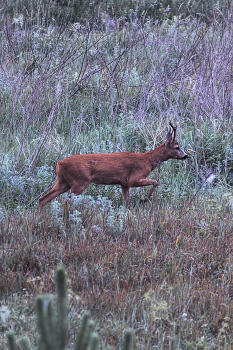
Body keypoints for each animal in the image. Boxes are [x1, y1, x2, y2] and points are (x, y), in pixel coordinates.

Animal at [38, 122, 187, 208]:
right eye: (177, 147)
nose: (186, 156)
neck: (148, 160)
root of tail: (59, 163)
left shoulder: (124, 184)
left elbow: (127, 202)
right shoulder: (134, 178)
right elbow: (156, 182)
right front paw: (143, 200)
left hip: (63, 181)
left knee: (42, 199)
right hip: (80, 181)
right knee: (66, 202)